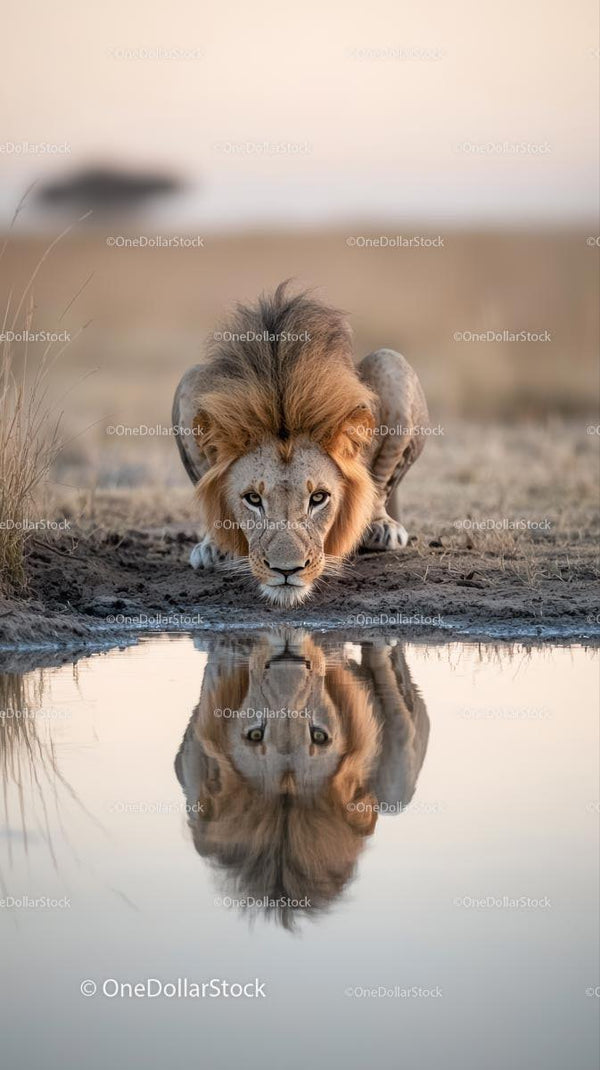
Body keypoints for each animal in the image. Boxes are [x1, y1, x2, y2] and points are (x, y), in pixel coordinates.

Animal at [172, 283, 429, 604]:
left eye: (318, 498)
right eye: (253, 499)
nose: (286, 570)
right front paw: (215, 543)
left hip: (391, 363)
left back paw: (381, 528)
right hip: (189, 379)